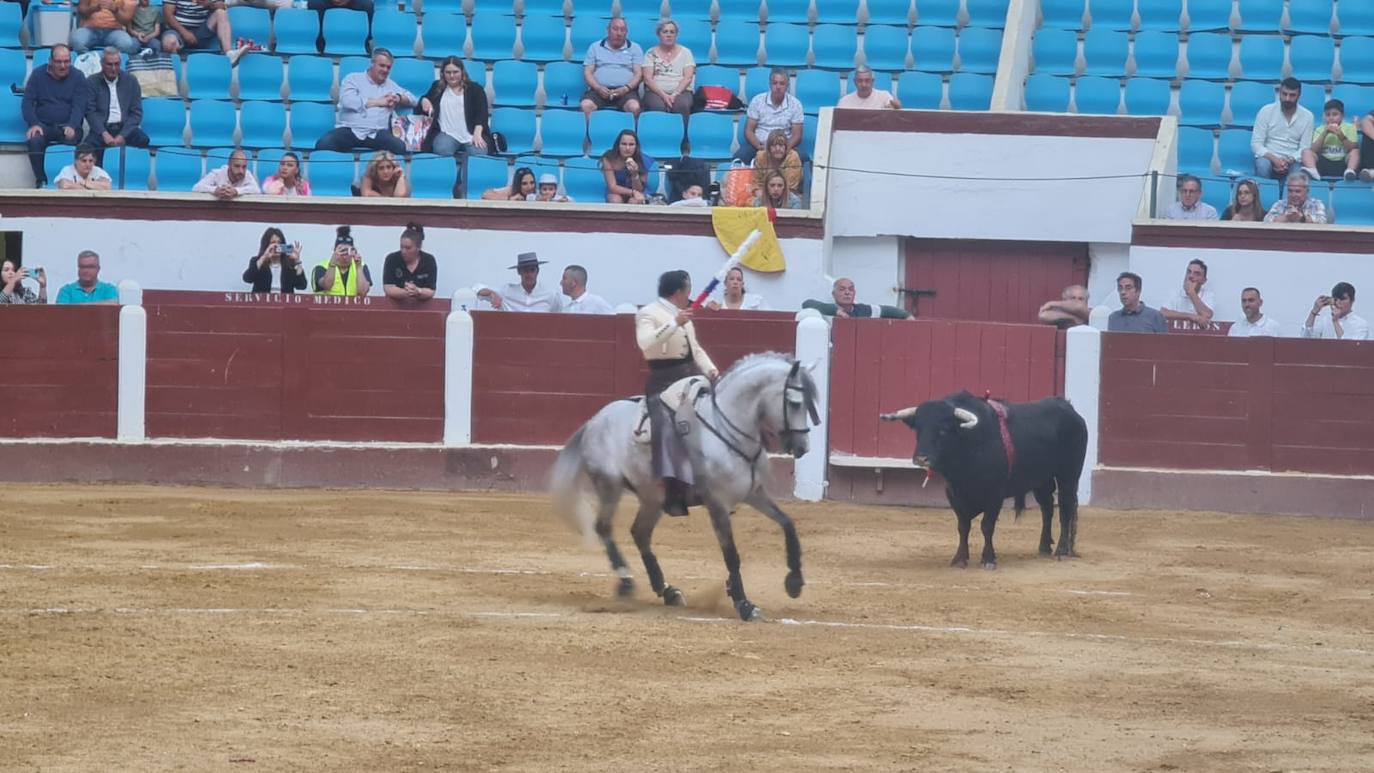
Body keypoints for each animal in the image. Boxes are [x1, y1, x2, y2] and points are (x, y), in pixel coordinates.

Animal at [884, 392, 1088, 568]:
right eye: (918, 429)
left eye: (944, 429)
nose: (921, 458)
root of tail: (1069, 408)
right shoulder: (954, 495)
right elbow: (963, 526)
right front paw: (960, 558)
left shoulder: (994, 496)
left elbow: (987, 526)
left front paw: (988, 559)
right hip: (1041, 480)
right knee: (1047, 508)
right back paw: (1044, 547)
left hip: (1069, 476)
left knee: (1065, 508)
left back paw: (1061, 550)